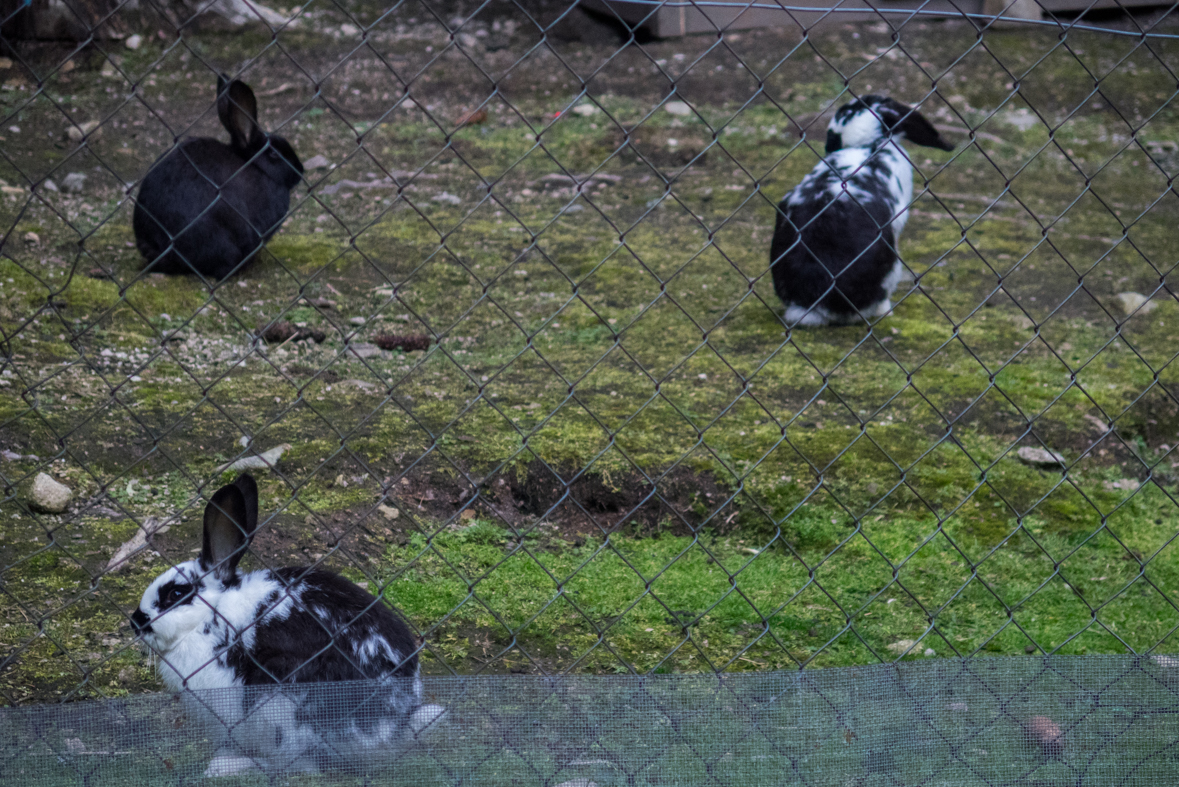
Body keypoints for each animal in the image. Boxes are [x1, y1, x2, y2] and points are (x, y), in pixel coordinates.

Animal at [130, 473, 443, 772]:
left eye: (175, 594)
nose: (135, 621)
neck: (210, 615)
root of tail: (395, 724)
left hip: (282, 698)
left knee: (305, 762)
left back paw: (230, 767)